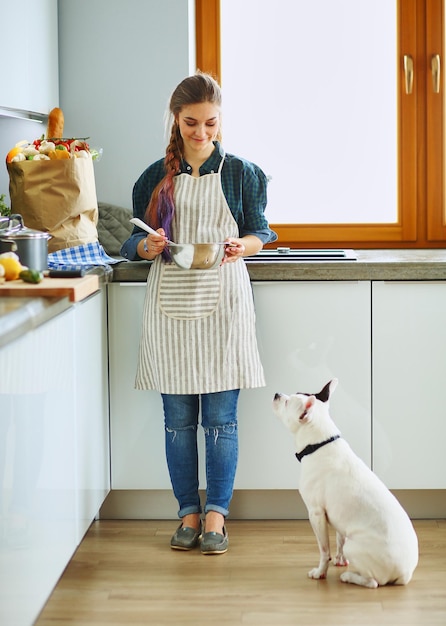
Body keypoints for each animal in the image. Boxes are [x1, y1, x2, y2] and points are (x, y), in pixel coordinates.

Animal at [272, 378, 418, 588]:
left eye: (286, 403)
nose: (276, 394)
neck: (319, 443)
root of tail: (405, 574)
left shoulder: (316, 513)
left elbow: (324, 549)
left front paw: (320, 572)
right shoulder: (338, 519)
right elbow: (338, 539)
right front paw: (340, 560)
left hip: (355, 547)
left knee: (373, 582)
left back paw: (349, 577)